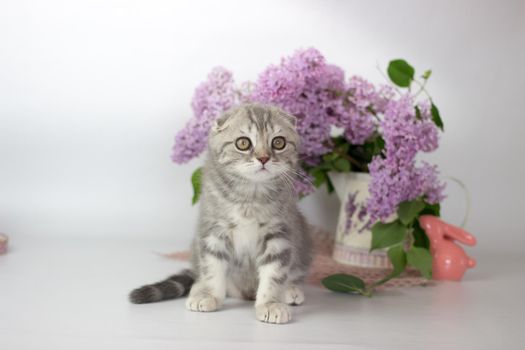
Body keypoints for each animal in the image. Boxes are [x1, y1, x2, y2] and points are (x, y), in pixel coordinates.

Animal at [130, 104, 312, 326]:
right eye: (243, 143)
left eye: (278, 142)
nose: (263, 158)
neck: (250, 196)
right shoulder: (213, 229)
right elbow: (212, 266)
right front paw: (208, 295)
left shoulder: (279, 234)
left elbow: (275, 273)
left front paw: (270, 303)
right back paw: (199, 288)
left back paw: (291, 290)